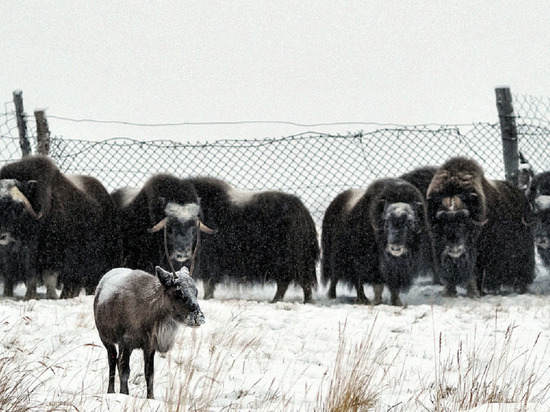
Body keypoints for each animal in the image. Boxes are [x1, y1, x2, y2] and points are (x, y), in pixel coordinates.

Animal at [94, 268, 206, 400]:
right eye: (178, 292)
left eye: (196, 291)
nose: (198, 317)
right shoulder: (125, 342)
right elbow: (125, 371)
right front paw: (124, 394)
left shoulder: (149, 346)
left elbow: (149, 374)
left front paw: (150, 397)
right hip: (106, 339)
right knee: (112, 362)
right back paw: (110, 391)